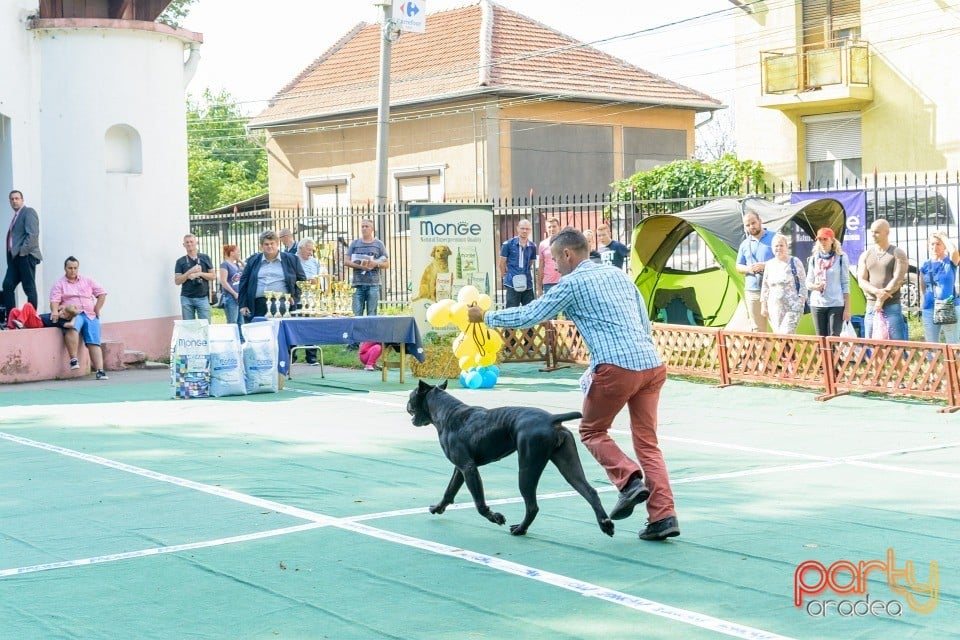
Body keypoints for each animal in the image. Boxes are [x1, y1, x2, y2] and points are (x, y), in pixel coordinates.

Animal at [406, 380, 616, 536]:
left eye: (410, 397)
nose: (408, 407)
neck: (447, 412)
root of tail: (551, 419)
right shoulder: (460, 469)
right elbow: (449, 491)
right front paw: (438, 508)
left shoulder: (468, 469)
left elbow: (479, 503)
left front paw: (495, 517)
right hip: (569, 467)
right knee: (590, 492)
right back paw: (605, 524)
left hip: (527, 470)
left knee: (532, 506)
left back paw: (520, 529)